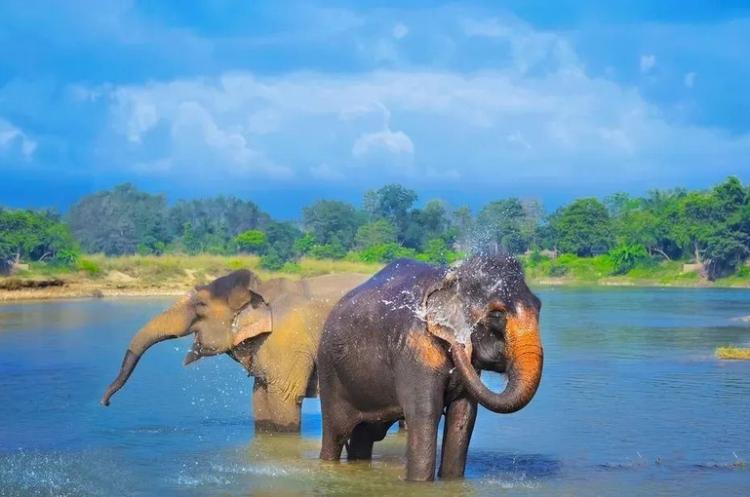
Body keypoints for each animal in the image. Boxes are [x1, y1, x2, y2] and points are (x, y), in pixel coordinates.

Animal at [101, 269, 368, 432]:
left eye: (200, 305)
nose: (105, 403)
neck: (261, 290)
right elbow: (259, 395)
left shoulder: (288, 340)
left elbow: (285, 396)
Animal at [317, 254, 543, 481]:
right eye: (497, 314)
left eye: (539, 307)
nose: (460, 344)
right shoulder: (416, 349)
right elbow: (425, 413)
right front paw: (420, 483)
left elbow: (463, 415)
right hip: (329, 375)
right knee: (336, 434)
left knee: (364, 435)